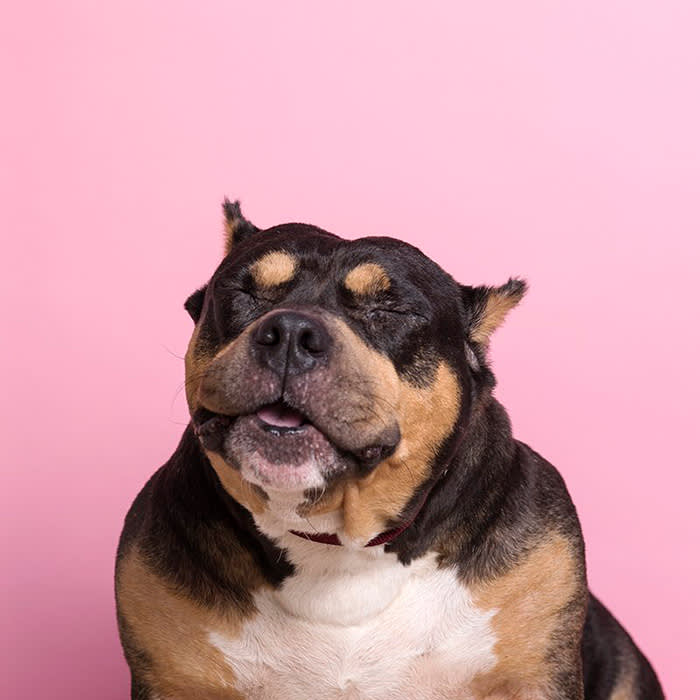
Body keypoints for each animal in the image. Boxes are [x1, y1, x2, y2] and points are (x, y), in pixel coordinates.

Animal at [115, 201, 660, 700]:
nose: (290, 331)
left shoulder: (533, 668)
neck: (338, 542)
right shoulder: (173, 675)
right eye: (243, 292)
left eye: (388, 311)